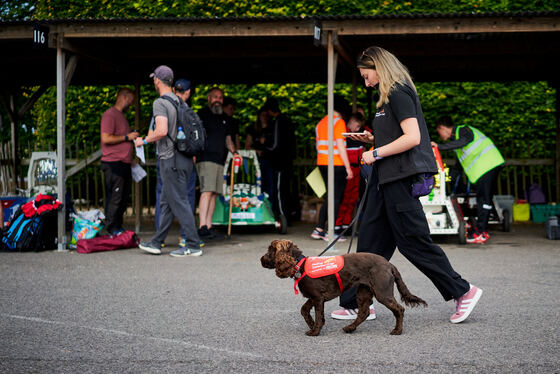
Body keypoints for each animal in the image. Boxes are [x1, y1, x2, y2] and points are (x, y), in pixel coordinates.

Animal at [260, 240, 426, 336]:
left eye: (270, 251)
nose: (261, 259)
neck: (299, 265)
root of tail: (389, 264)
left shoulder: (318, 298)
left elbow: (318, 315)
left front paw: (315, 331)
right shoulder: (314, 297)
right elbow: (304, 310)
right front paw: (312, 324)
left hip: (382, 292)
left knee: (399, 309)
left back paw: (397, 330)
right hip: (364, 291)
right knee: (364, 312)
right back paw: (350, 328)